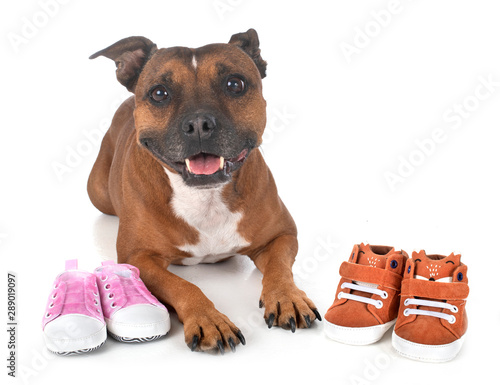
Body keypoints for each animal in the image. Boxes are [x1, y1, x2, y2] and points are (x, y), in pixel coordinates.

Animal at [86, 28, 320, 352]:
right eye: (159, 93)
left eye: (235, 84)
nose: (199, 123)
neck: (205, 197)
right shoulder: (138, 257)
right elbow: (183, 284)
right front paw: (208, 319)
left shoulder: (281, 236)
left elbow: (280, 270)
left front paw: (288, 297)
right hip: (97, 192)